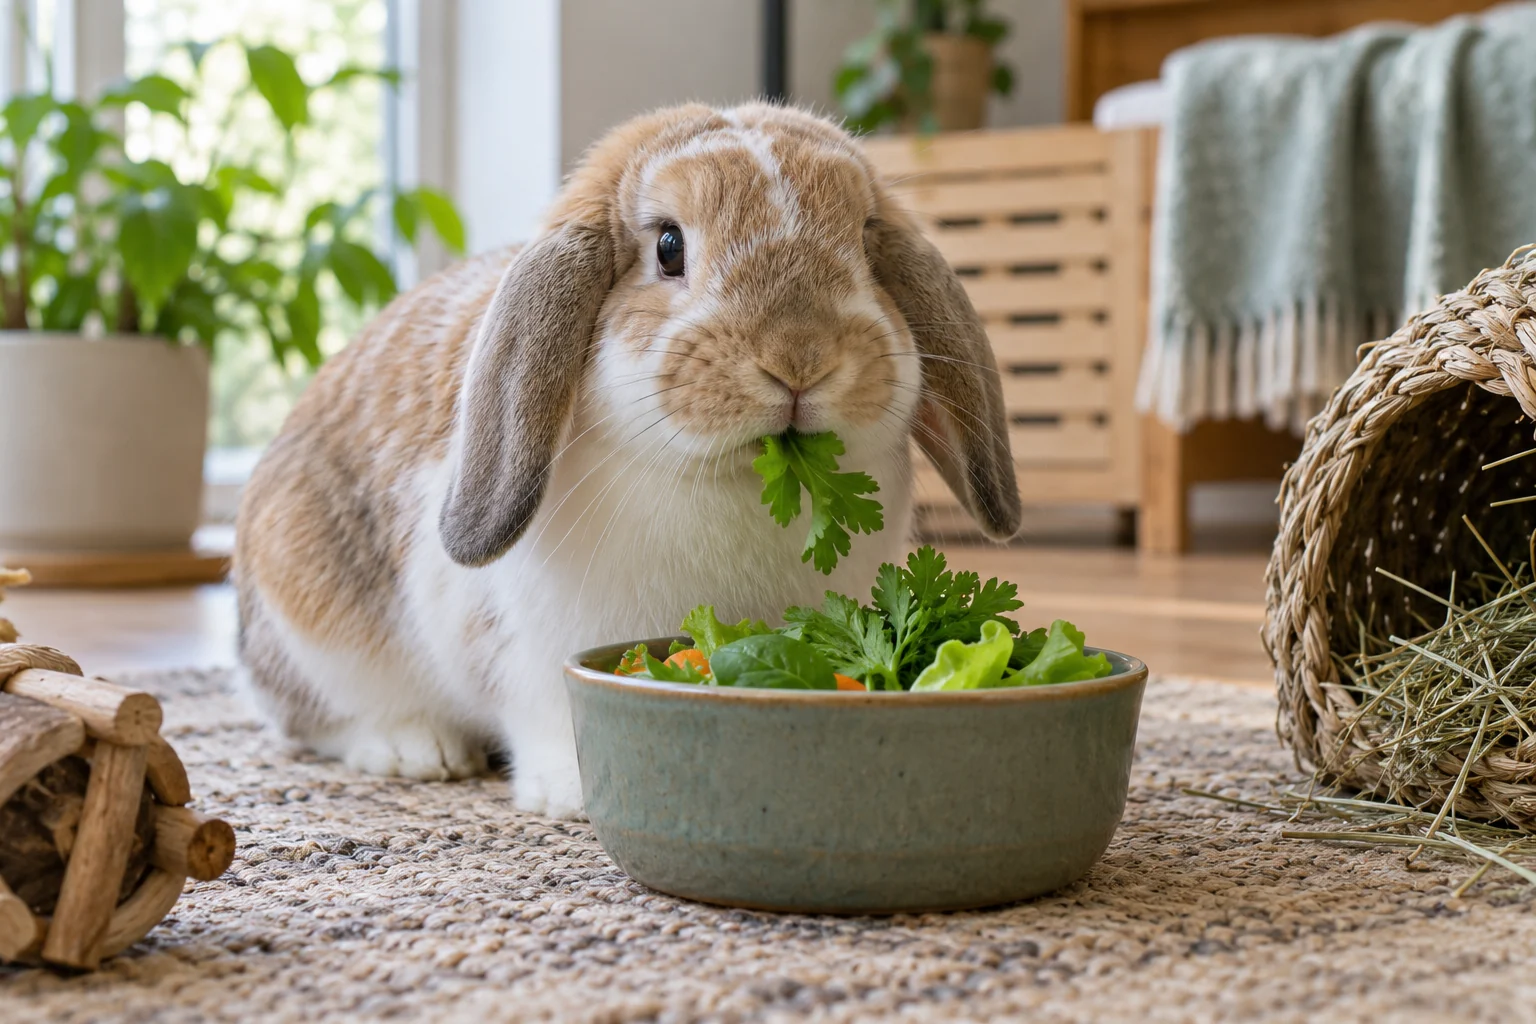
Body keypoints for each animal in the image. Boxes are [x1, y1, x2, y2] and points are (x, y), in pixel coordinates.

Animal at [234, 102, 1020, 818]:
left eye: (861, 239)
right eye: (669, 246)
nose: (800, 357)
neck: (732, 484)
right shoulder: (528, 651)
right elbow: (546, 711)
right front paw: (573, 796)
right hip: (313, 624)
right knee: (316, 719)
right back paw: (416, 750)